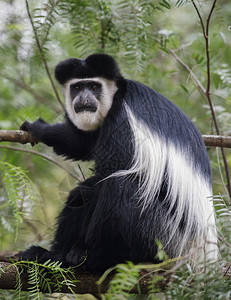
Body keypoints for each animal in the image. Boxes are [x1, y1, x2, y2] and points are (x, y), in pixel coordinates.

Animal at [20, 54, 217, 272]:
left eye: (94, 87)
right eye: (77, 88)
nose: (84, 99)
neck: (117, 95)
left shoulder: (122, 119)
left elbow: (112, 169)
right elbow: (82, 142)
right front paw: (38, 128)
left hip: (162, 235)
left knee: (121, 186)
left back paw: (89, 258)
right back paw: (50, 254)